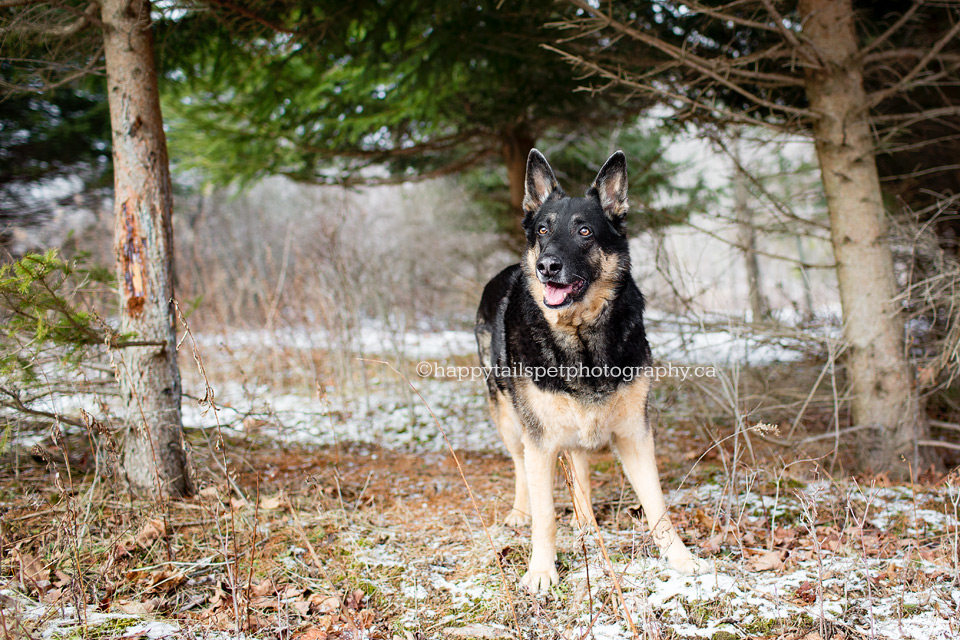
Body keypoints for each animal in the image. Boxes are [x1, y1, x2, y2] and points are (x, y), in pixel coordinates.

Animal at [476, 150, 708, 596]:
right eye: (543, 230)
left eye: (584, 231)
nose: (547, 266)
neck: (580, 336)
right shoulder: (540, 440)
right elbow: (546, 515)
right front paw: (541, 571)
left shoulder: (636, 435)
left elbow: (657, 505)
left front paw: (681, 560)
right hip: (509, 420)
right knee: (520, 466)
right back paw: (520, 512)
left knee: (579, 463)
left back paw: (586, 523)